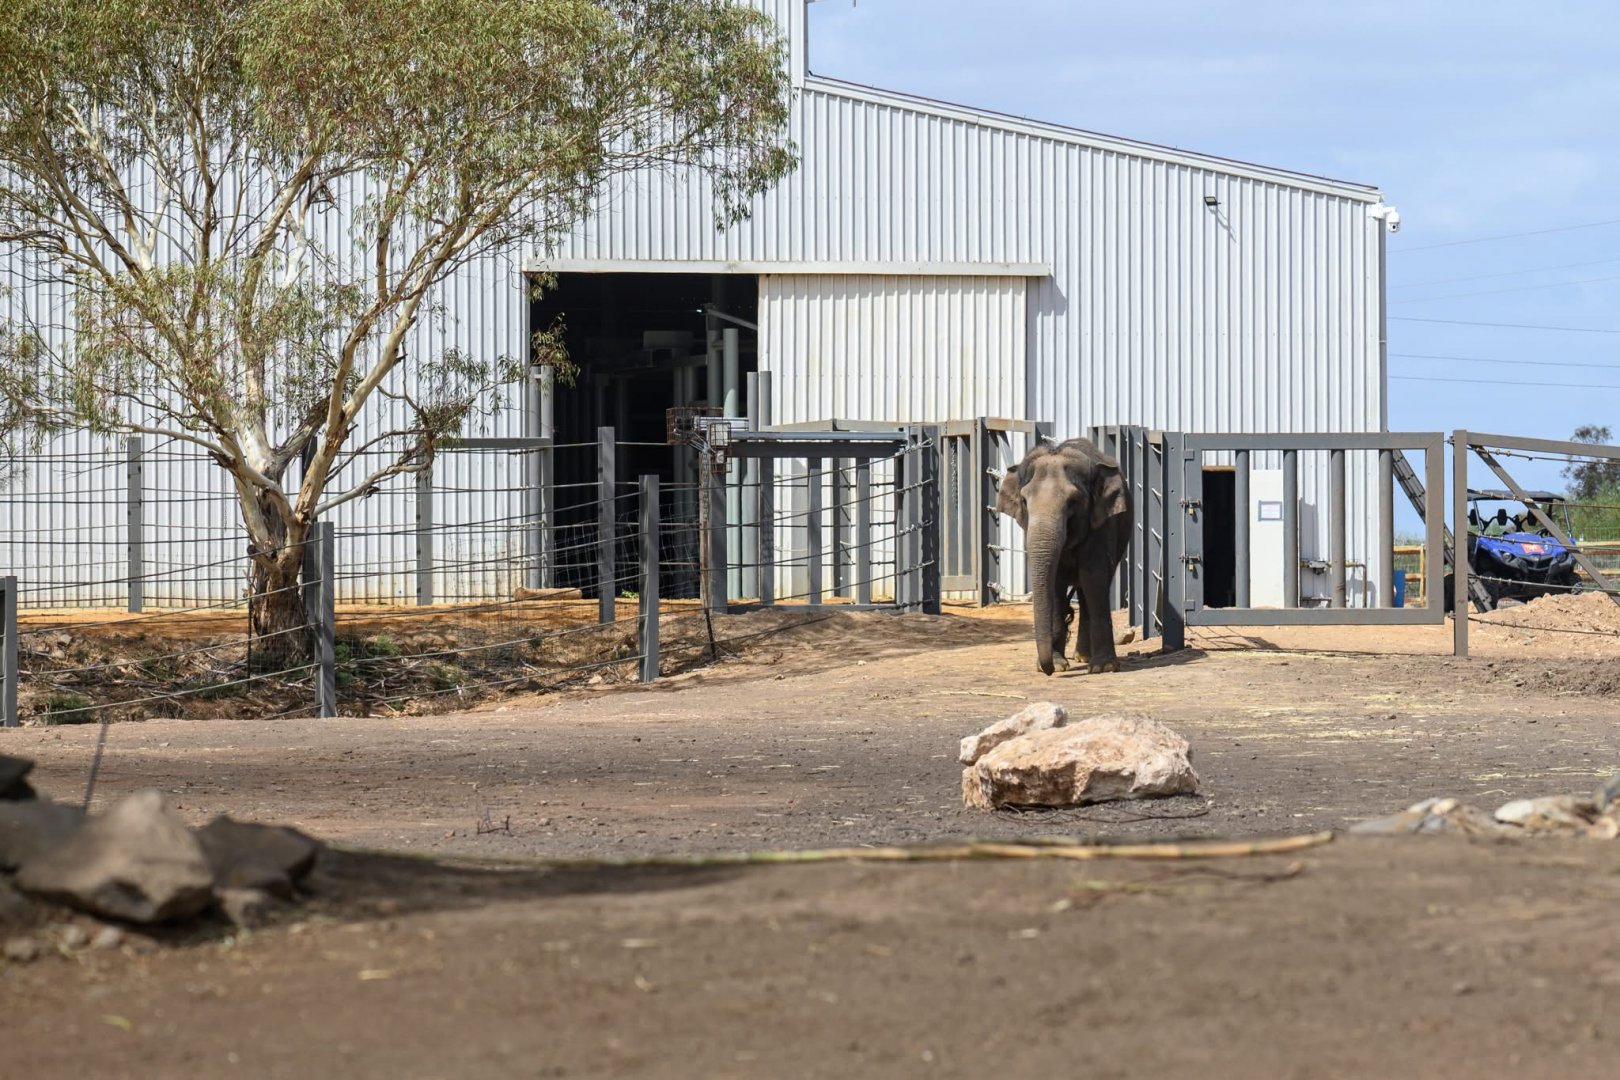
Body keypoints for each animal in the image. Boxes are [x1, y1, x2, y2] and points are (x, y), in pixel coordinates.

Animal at [996, 438, 1133, 676]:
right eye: (1024, 500)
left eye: (1073, 501)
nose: (1048, 670)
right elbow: (1056, 582)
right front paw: (1058, 665)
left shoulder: (1100, 525)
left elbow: (1093, 577)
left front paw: (1104, 667)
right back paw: (1080, 657)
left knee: (1089, 588)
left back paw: (1085, 658)